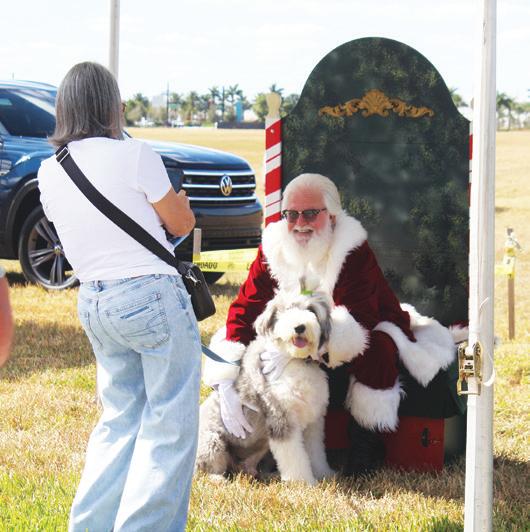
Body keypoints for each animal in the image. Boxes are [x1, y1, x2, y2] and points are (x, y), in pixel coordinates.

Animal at [196, 290, 367, 485]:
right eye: (286, 311)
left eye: (311, 310)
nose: (299, 327)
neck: (295, 360)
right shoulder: (283, 419)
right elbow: (294, 457)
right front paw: (303, 483)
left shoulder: (313, 422)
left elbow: (315, 452)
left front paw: (323, 474)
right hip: (212, 442)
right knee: (207, 468)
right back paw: (218, 478)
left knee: (247, 467)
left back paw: (265, 474)